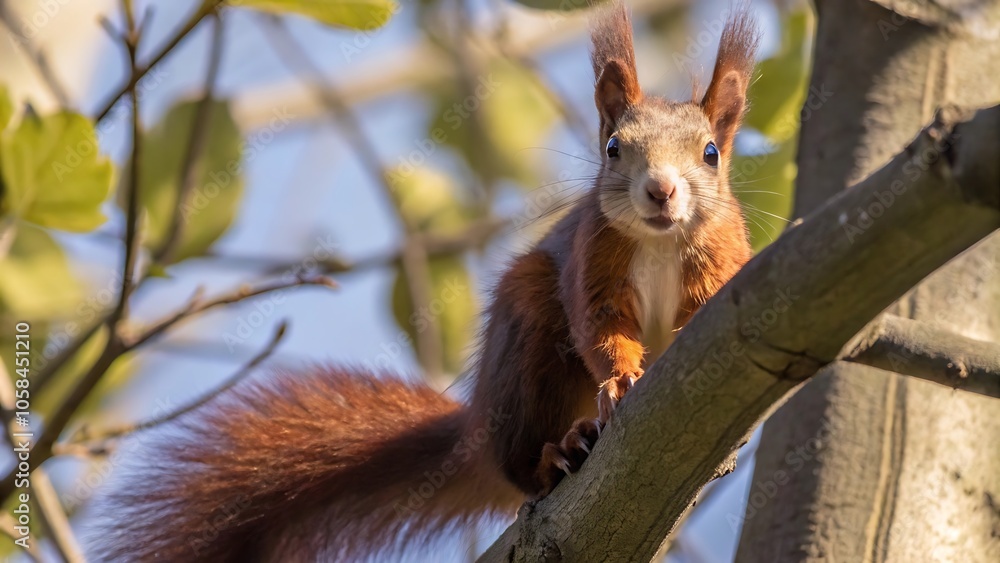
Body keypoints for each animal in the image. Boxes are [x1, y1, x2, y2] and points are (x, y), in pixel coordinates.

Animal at [94, 2, 758, 561]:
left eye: (710, 153)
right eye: (614, 147)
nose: (661, 190)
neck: (659, 242)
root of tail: (478, 429)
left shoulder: (723, 257)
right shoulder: (588, 262)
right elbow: (599, 327)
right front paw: (619, 380)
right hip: (526, 331)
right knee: (521, 461)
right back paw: (561, 452)